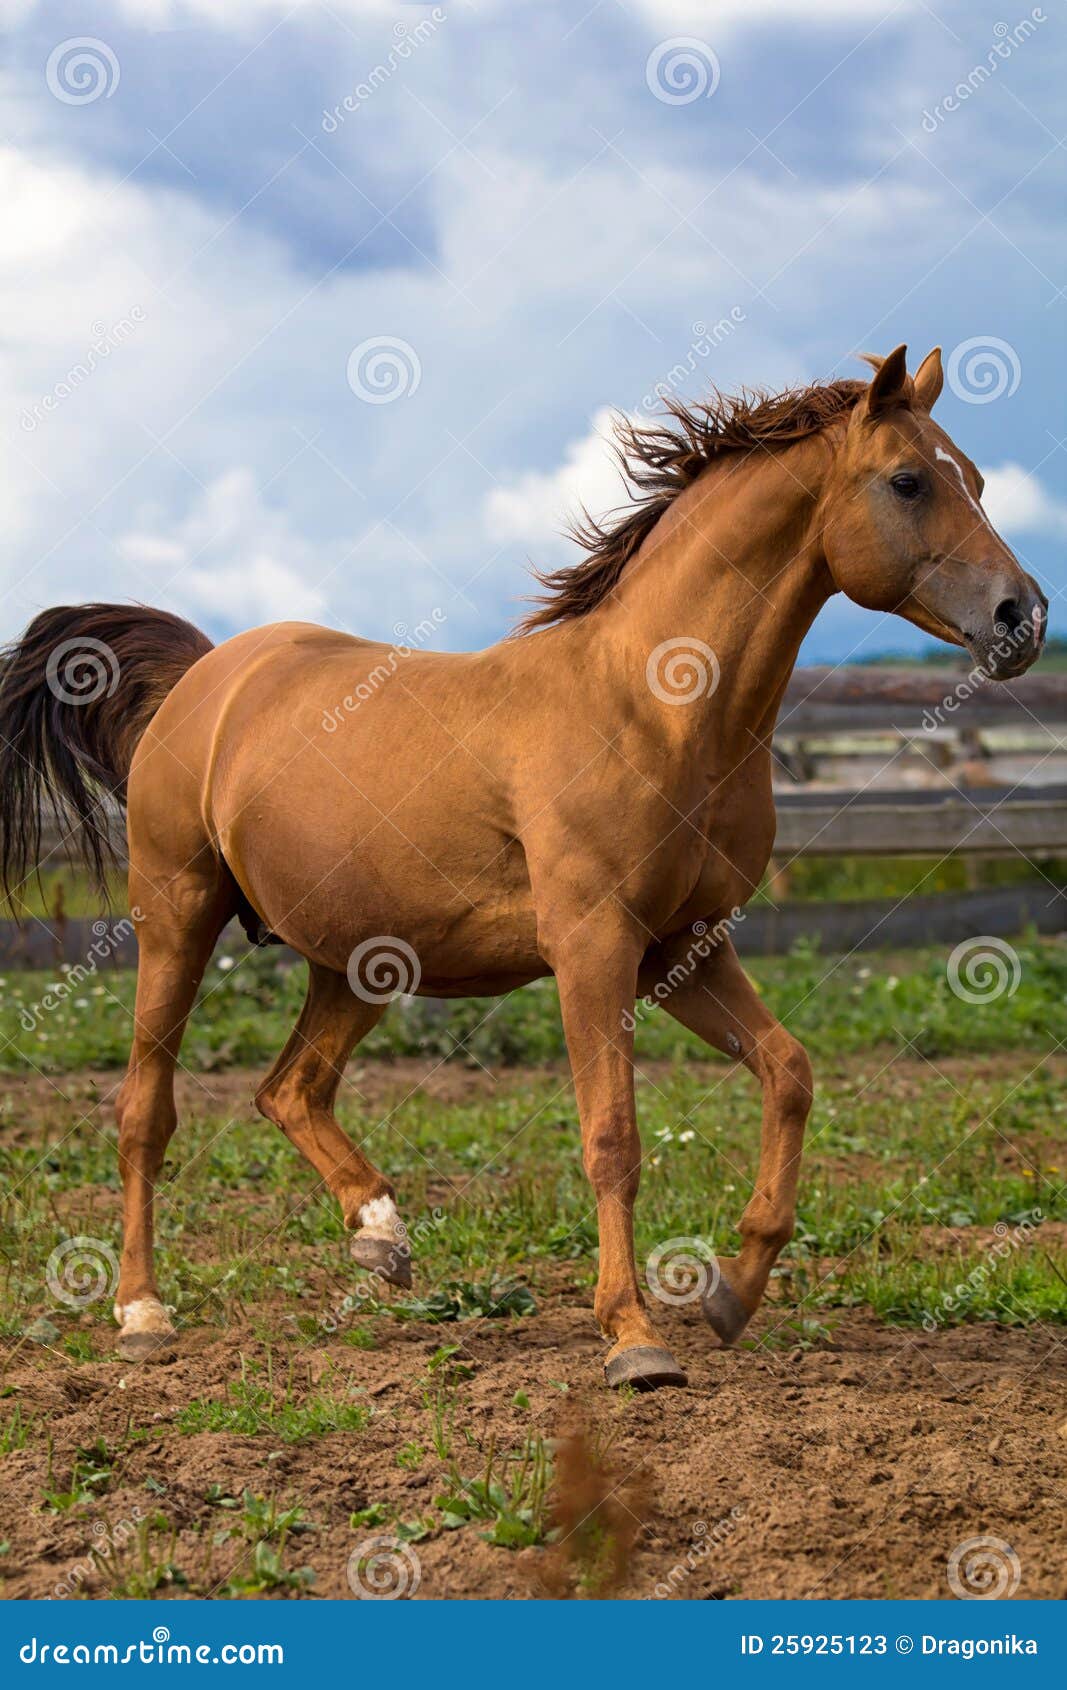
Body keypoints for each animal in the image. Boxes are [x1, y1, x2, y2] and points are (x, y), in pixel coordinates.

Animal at [0, 344, 1047, 1389]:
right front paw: (633, 1339)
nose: (1023, 617)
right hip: (176, 918)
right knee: (146, 1112)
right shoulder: (593, 947)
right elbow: (612, 1136)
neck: (656, 708)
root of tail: (207, 678)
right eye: (908, 481)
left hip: (359, 961)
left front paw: (730, 1292)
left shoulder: (688, 949)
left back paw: (382, 1235)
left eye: (976, 478)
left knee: (289, 1088)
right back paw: (142, 1313)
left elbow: (788, 1073)